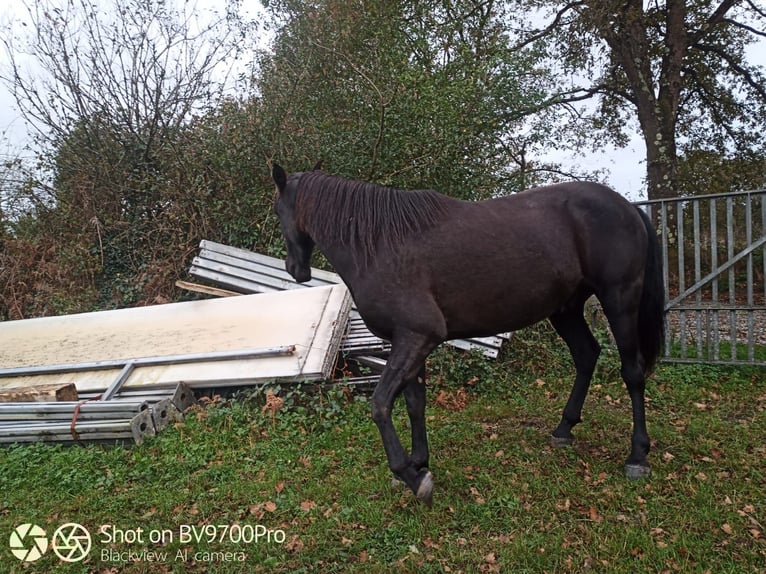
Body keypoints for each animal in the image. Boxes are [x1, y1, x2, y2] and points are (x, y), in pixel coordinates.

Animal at [272, 163, 665, 506]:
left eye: (277, 211)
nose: (295, 270)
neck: (380, 245)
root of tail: (628, 207)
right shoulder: (409, 341)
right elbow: (415, 403)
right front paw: (419, 464)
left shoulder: (417, 336)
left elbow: (381, 404)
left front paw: (410, 476)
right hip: (565, 309)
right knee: (586, 355)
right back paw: (564, 429)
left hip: (619, 300)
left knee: (632, 372)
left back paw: (637, 456)